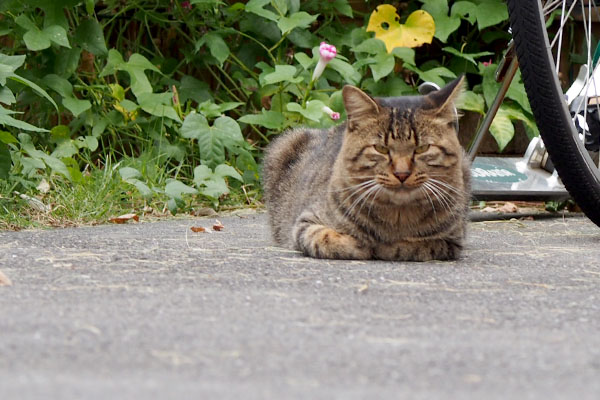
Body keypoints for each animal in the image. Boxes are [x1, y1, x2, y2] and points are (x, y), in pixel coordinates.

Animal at [264, 76, 472, 260]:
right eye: (381, 148)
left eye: (422, 148)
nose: (402, 173)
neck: (398, 216)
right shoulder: (306, 222)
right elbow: (325, 238)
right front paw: (358, 244)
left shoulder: (452, 241)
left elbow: (415, 246)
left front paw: (387, 246)